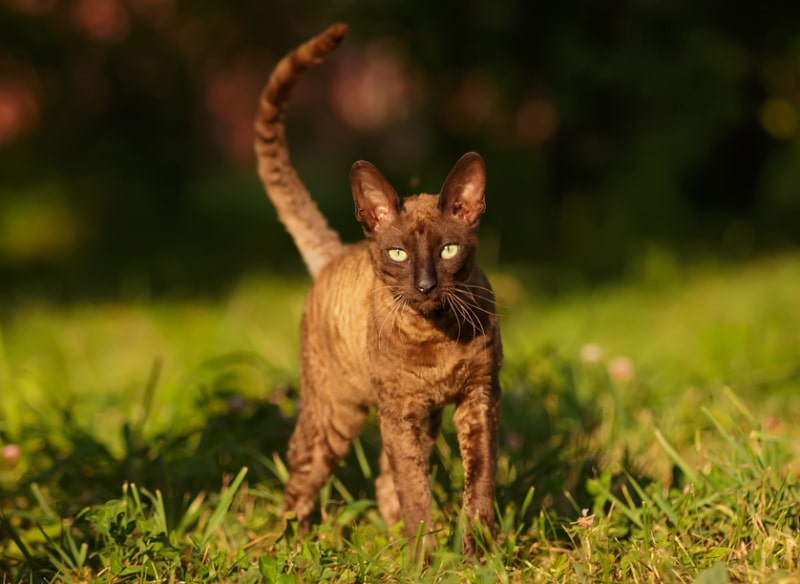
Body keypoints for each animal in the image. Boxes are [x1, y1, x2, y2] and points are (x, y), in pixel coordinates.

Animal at [253, 22, 500, 556]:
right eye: (399, 254)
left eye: (448, 250)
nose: (426, 285)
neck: (437, 335)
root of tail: (336, 252)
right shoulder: (401, 410)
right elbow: (415, 492)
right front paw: (430, 559)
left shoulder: (477, 399)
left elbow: (479, 482)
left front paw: (477, 554)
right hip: (337, 414)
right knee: (301, 475)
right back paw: (290, 548)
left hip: (417, 420)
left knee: (383, 481)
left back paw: (388, 544)